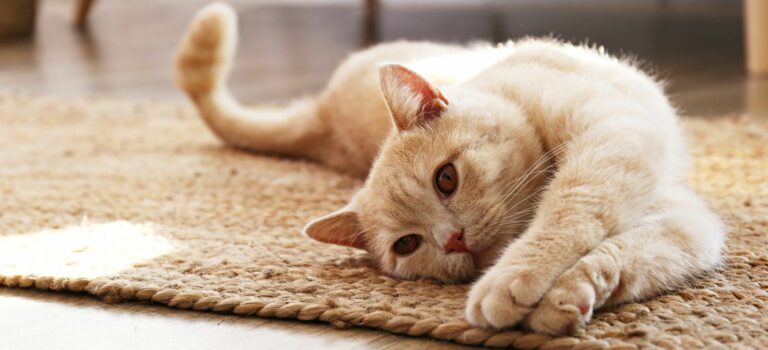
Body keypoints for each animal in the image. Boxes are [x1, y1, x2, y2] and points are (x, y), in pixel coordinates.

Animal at [174, 3, 728, 336]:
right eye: (408, 244)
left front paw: (519, 282)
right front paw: (565, 296)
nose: (454, 240)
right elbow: (626, 253)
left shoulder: (617, 138)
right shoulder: (685, 222)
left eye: (446, 178)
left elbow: (571, 213)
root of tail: (323, 113)